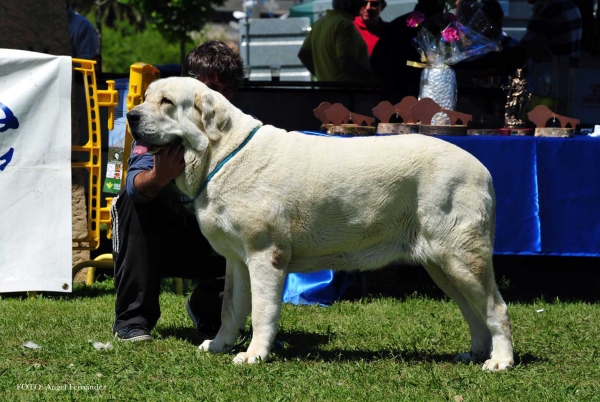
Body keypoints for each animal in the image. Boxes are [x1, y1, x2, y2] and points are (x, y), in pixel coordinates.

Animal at [129, 76, 512, 370]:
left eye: (165, 102)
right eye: (145, 98)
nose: (131, 115)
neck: (223, 153)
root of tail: (484, 169)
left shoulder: (265, 255)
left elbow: (262, 311)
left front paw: (254, 355)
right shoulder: (237, 260)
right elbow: (231, 308)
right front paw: (220, 344)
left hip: (462, 257)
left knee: (496, 307)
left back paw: (500, 361)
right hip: (443, 265)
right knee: (472, 310)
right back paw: (476, 352)